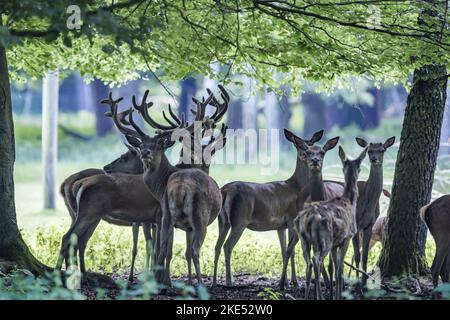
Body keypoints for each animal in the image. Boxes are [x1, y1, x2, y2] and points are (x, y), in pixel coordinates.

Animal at [211, 127, 326, 288]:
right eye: (300, 146)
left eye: (311, 145)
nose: (308, 157)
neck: (297, 187)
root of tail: (225, 190)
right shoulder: (291, 219)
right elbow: (291, 250)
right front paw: (294, 281)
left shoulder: (280, 226)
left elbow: (284, 250)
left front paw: (286, 281)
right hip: (240, 220)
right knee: (227, 246)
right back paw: (229, 281)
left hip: (223, 221)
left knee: (217, 246)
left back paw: (214, 282)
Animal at [298, 145, 368, 300]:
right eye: (360, 166)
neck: (350, 201)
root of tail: (309, 218)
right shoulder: (347, 237)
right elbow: (340, 271)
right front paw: (339, 296)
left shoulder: (336, 244)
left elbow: (336, 270)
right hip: (325, 239)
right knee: (317, 261)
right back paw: (319, 296)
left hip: (304, 240)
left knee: (308, 263)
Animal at [354, 136, 396, 284]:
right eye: (369, 150)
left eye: (382, 150)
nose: (374, 159)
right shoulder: (355, 223)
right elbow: (357, 255)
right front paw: (357, 282)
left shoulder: (369, 224)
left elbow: (364, 255)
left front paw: (363, 282)